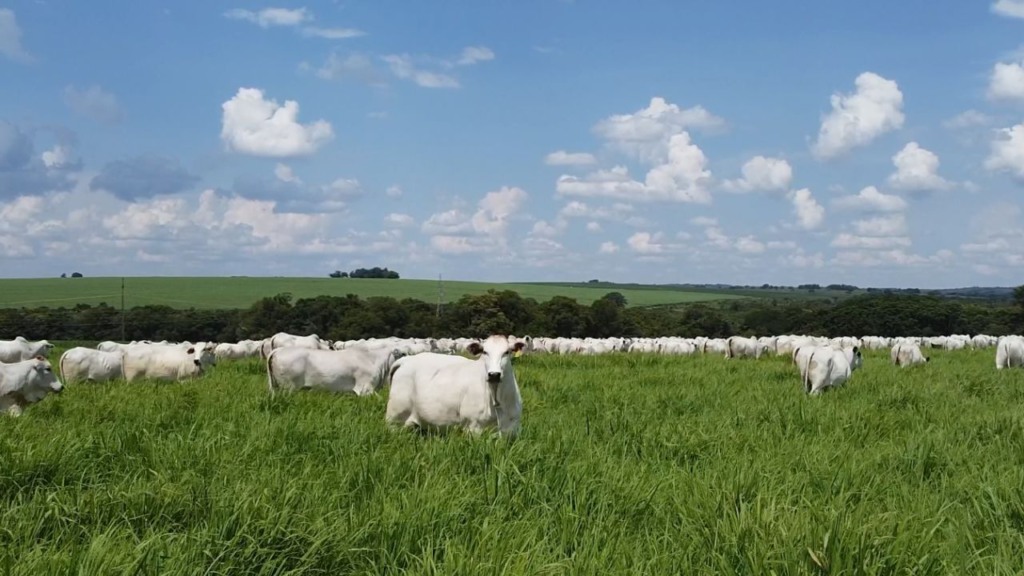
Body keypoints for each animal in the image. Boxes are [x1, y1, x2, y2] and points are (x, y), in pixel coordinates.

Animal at [385, 332, 524, 434]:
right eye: (485, 352)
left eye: (506, 352)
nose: (494, 374)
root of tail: (406, 360)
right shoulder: (473, 427)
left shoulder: (512, 428)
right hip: (394, 418)